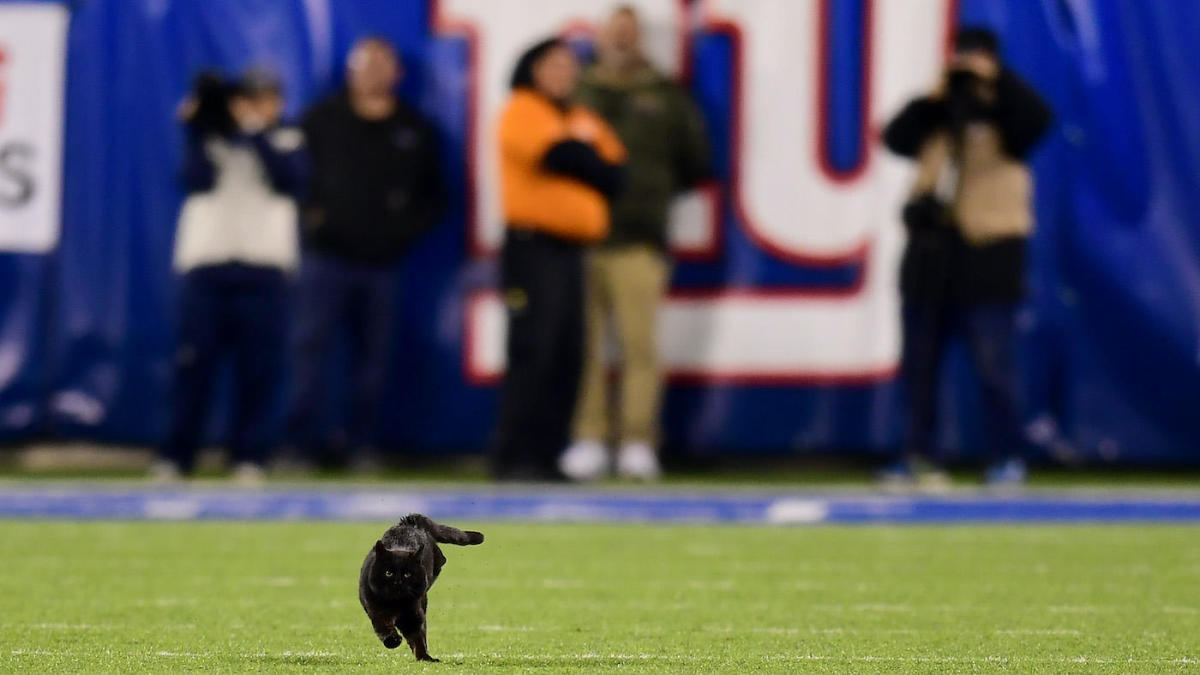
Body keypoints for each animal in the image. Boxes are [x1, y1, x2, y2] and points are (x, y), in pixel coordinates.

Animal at [357, 511, 484, 658]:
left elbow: (417, 637)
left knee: (442, 560)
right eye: (388, 573)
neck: (396, 604)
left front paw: (424, 657)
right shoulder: (376, 609)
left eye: (407, 574)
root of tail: (409, 522)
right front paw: (393, 640)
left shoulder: (413, 615)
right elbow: (383, 626)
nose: (398, 582)